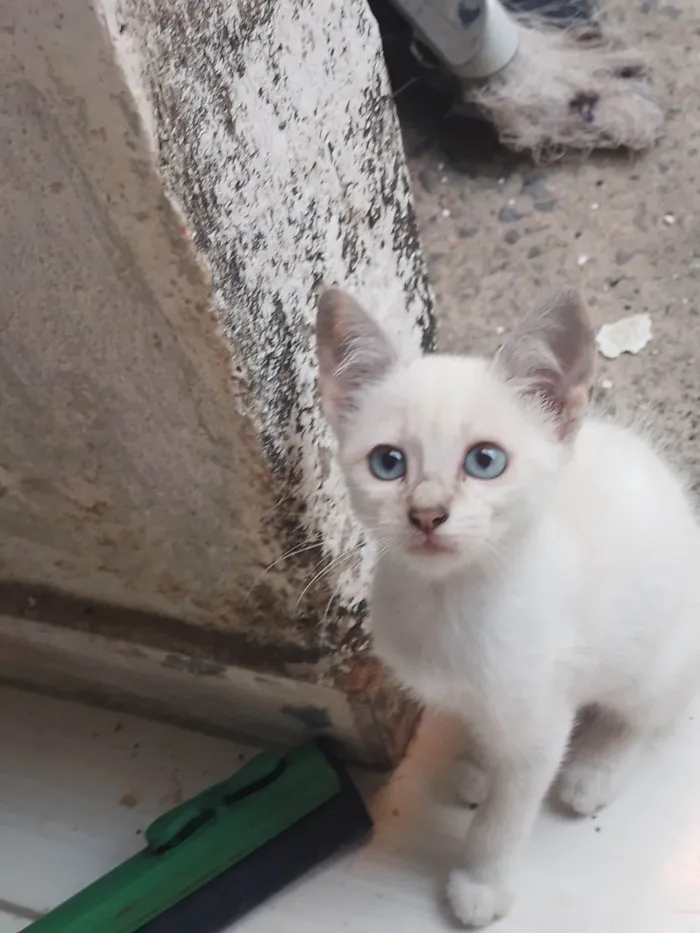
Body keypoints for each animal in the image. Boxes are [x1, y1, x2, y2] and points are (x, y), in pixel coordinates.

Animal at [316, 288, 700, 928]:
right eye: (388, 463)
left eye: (485, 461)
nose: (426, 512)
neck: (448, 603)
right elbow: (480, 730)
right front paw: (477, 763)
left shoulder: (540, 724)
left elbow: (504, 816)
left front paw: (480, 882)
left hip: (656, 658)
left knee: (648, 713)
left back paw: (595, 769)